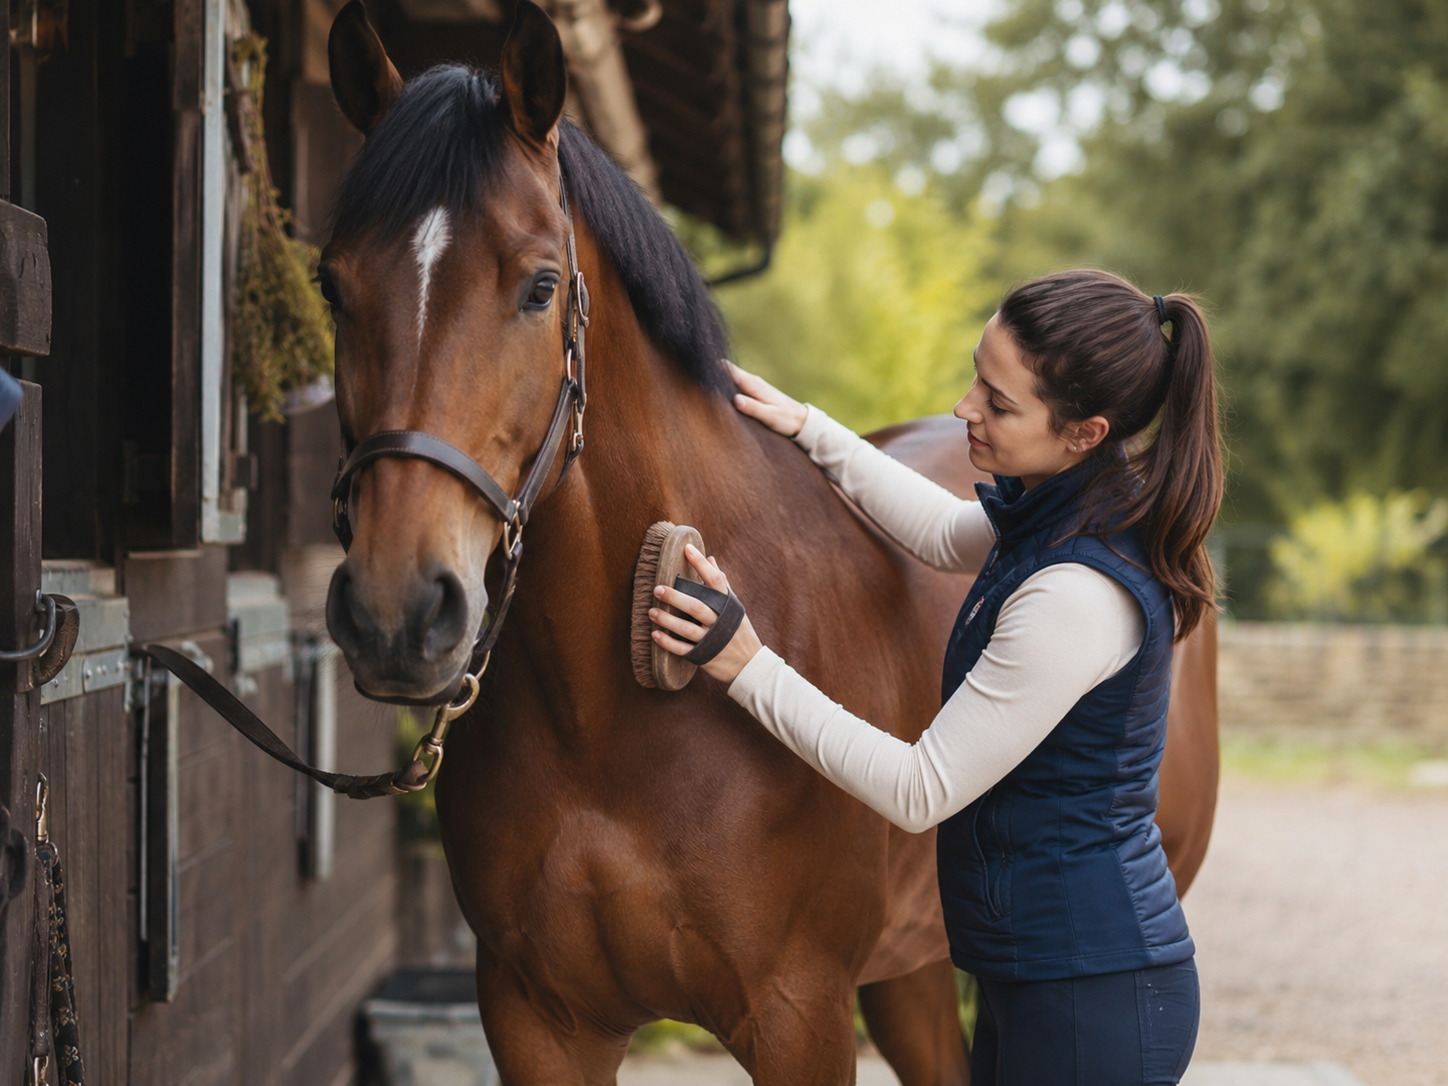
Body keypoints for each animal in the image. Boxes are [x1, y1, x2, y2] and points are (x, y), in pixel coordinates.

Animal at [319, 5, 1218, 1083]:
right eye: (332, 287)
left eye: (538, 287)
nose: (397, 612)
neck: (613, 716)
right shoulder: (535, 1019)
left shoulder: (799, 1017)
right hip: (912, 969)